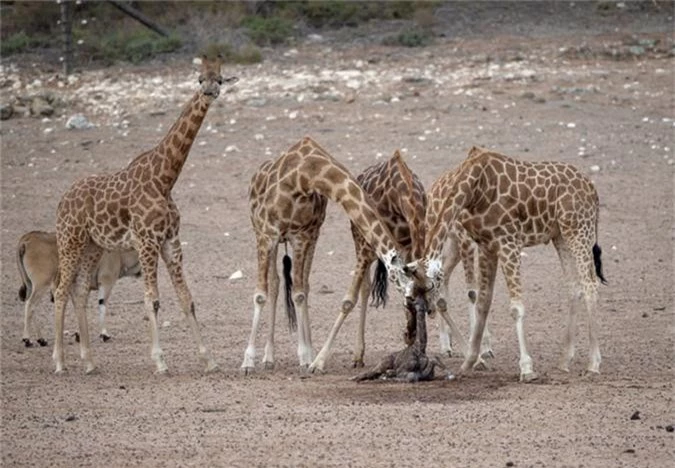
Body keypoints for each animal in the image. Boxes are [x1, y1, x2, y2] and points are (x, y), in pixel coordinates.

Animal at [50, 55, 236, 372]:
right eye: (200, 78)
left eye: (220, 79)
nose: (210, 92)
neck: (164, 178)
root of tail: (63, 200)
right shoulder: (147, 241)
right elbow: (152, 300)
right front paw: (160, 361)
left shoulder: (171, 241)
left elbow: (187, 299)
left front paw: (209, 360)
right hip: (69, 239)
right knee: (62, 291)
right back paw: (60, 362)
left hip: (93, 245)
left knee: (79, 290)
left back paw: (89, 362)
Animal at [243, 136, 412, 372]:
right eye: (407, 280)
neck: (306, 174)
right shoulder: (267, 232)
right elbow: (260, 294)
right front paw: (247, 361)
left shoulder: (302, 235)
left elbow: (299, 293)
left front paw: (306, 355)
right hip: (263, 234)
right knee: (275, 283)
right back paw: (268, 357)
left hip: (310, 237)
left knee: (298, 285)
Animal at [404, 147, 608, 384]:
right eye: (413, 293)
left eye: (428, 287)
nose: (429, 310)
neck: (474, 187)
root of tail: (591, 188)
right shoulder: (486, 246)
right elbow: (482, 303)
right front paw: (469, 362)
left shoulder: (508, 242)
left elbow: (515, 307)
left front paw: (526, 369)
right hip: (560, 235)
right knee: (574, 287)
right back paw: (564, 360)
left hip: (579, 229)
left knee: (590, 284)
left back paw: (593, 364)